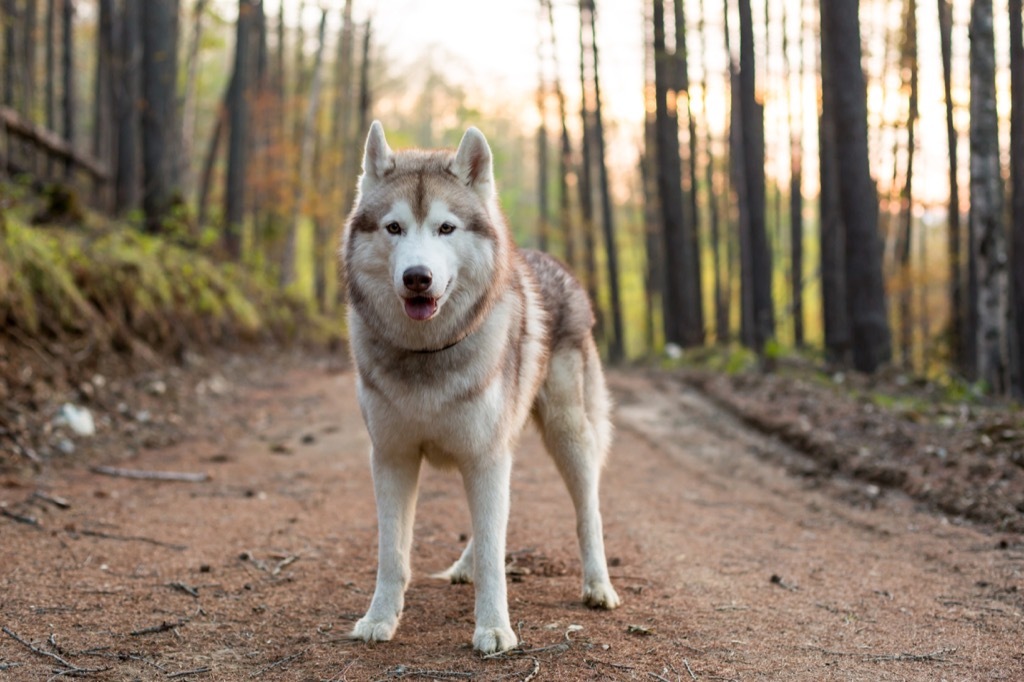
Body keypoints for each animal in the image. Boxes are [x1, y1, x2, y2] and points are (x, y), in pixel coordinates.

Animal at [339, 122, 618, 655]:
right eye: (393, 228)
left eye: (446, 228)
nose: (417, 277)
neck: (428, 353)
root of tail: (549, 261)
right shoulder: (392, 457)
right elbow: (393, 553)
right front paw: (379, 619)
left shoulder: (485, 456)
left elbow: (495, 554)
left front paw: (493, 629)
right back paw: (463, 565)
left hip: (569, 435)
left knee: (588, 512)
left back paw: (598, 586)